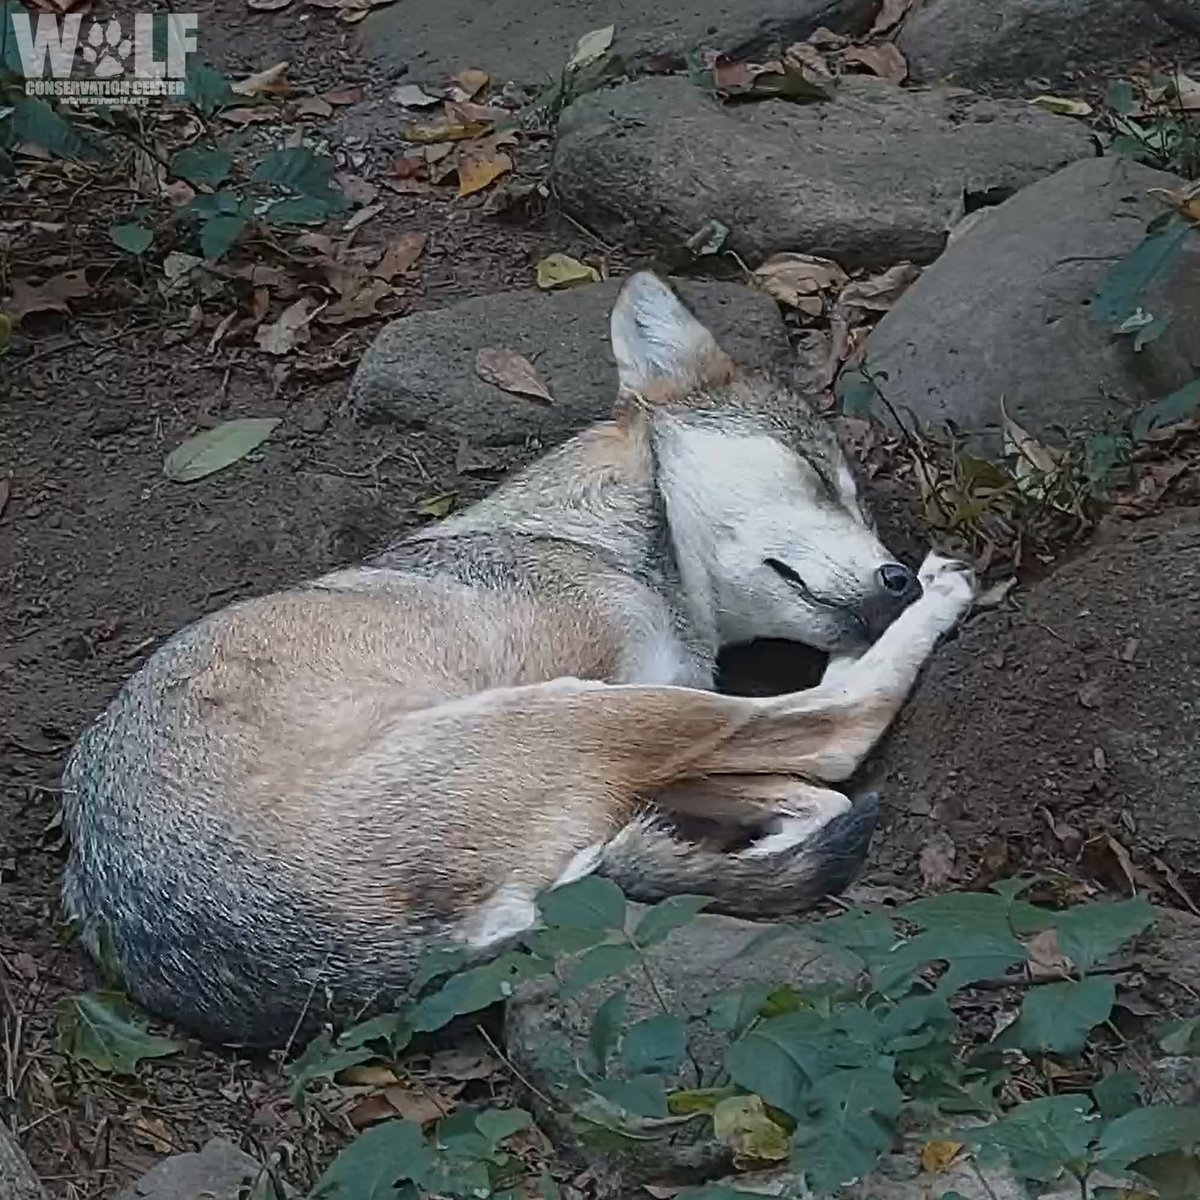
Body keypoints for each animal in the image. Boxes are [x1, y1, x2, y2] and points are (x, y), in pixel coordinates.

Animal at [60, 272, 975, 1048]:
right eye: (820, 478)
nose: (895, 578)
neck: (594, 544)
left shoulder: (656, 728)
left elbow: (787, 791)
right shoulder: (642, 699)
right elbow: (815, 753)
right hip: (572, 708)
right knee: (842, 728)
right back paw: (936, 603)